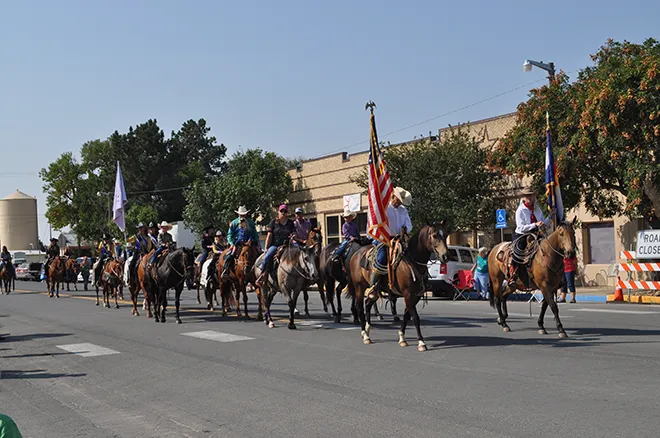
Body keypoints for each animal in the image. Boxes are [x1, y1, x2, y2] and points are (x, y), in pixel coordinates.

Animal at [346, 222, 448, 352]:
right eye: (434, 235)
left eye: (446, 234)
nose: (445, 256)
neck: (411, 261)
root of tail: (356, 254)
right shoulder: (408, 294)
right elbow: (415, 317)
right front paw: (421, 342)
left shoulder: (416, 296)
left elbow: (407, 315)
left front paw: (402, 338)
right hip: (359, 287)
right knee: (360, 307)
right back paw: (365, 335)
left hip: (375, 290)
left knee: (368, 303)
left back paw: (368, 329)